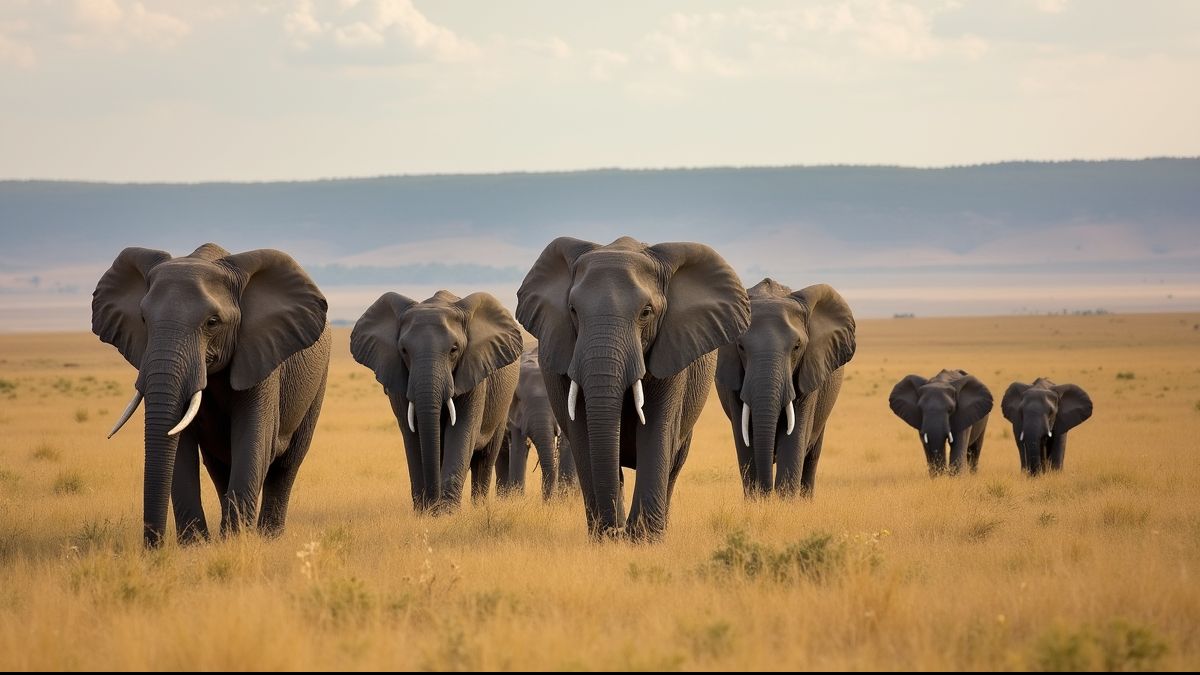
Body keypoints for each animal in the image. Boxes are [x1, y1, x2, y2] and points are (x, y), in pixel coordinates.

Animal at [91, 242, 331, 547]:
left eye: (213, 322)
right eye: (143, 319)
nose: (152, 547)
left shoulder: (262, 355)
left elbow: (253, 438)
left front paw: (235, 543)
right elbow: (179, 444)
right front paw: (196, 547)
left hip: (317, 383)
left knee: (287, 465)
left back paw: (269, 537)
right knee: (218, 467)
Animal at [350, 288, 523, 509]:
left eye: (454, 350)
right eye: (404, 351)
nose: (433, 503)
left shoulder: (474, 375)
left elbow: (462, 430)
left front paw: (445, 512)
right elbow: (412, 435)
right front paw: (424, 511)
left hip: (502, 403)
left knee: (485, 457)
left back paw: (479, 507)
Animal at [516, 236, 748, 540]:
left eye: (646, 313)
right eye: (573, 311)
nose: (616, 531)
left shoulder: (673, 353)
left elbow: (657, 428)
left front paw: (642, 540)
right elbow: (583, 432)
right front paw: (605, 538)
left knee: (674, 464)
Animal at [710, 277, 854, 494]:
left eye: (797, 347)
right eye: (741, 346)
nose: (766, 492)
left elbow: (793, 442)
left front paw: (783, 501)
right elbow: (745, 444)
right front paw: (758, 499)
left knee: (811, 458)